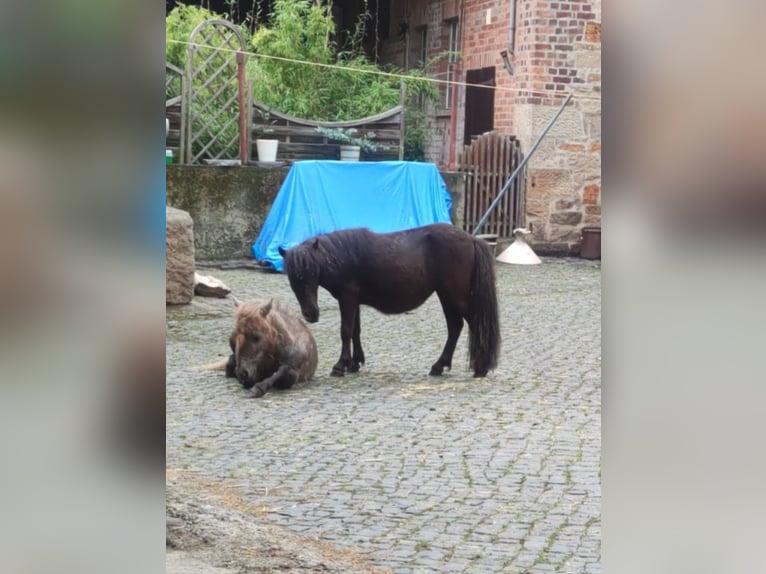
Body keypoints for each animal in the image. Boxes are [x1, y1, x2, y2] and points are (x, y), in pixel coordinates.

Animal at [280, 224, 500, 378]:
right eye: (292, 277)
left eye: (312, 272)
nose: (311, 314)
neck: (343, 257)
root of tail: (471, 239)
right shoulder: (354, 300)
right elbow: (356, 331)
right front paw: (355, 362)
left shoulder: (347, 297)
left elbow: (346, 331)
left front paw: (340, 365)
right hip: (446, 296)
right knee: (455, 327)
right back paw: (440, 366)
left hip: (455, 297)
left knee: (475, 324)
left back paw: (481, 367)